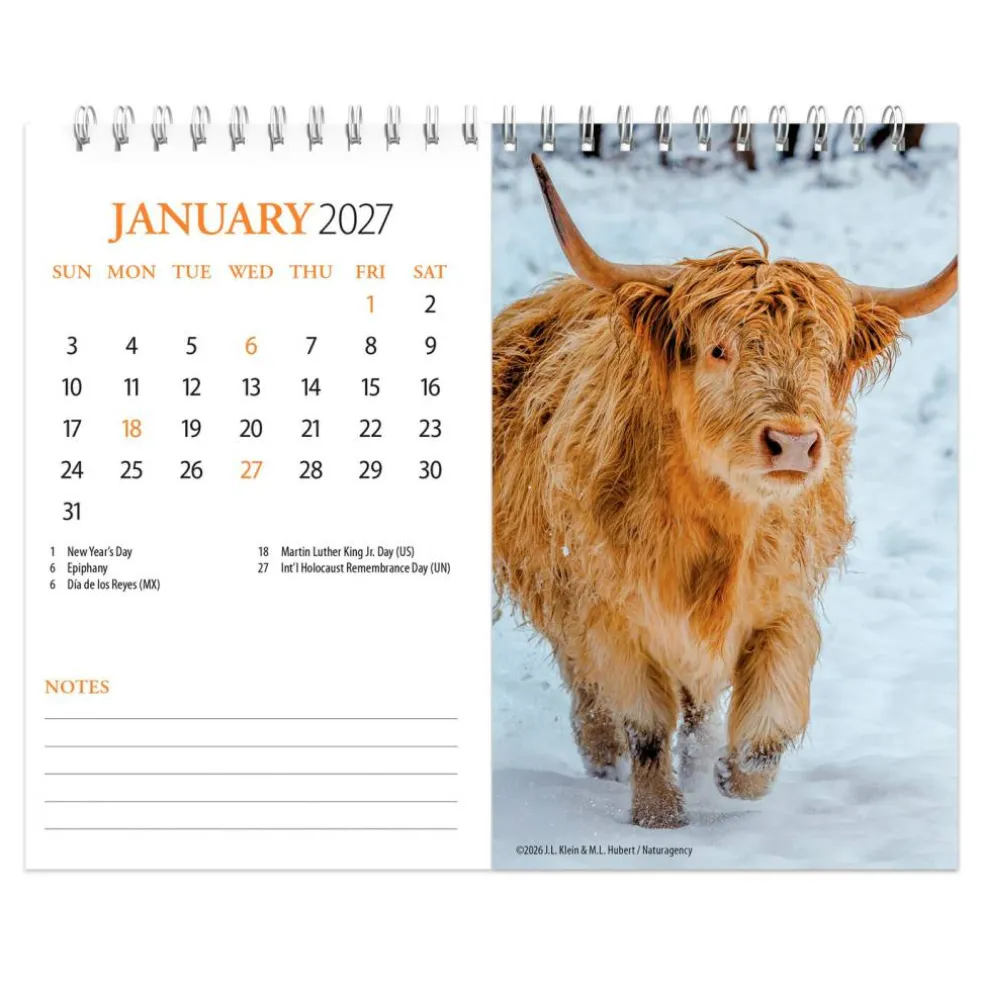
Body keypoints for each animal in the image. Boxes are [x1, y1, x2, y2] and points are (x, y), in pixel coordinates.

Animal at [492, 154, 958, 828]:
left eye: (827, 360)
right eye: (719, 349)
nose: (793, 442)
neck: (718, 530)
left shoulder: (783, 606)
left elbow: (767, 724)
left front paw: (727, 778)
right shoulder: (611, 614)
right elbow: (645, 724)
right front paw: (659, 815)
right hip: (559, 602)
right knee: (591, 698)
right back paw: (604, 761)